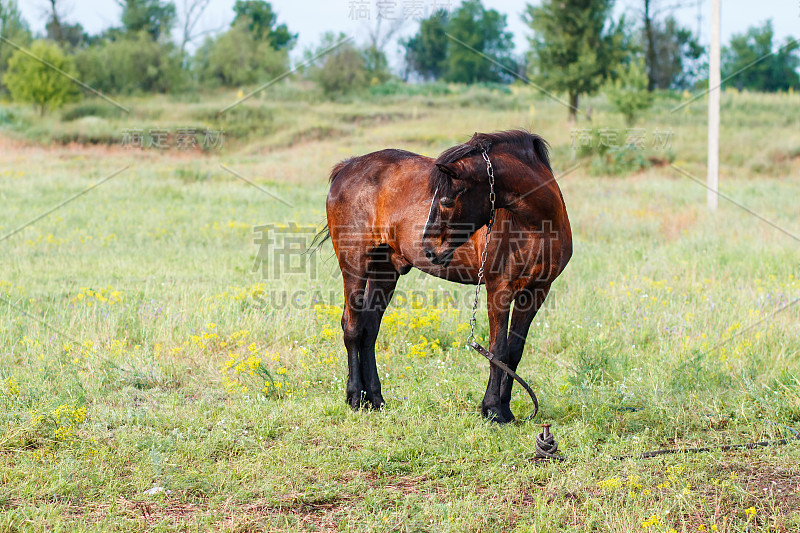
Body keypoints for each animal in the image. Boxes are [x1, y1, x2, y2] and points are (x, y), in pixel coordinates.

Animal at [322, 129, 572, 420]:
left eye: (445, 200)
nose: (429, 249)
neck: (536, 225)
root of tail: (347, 168)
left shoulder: (536, 292)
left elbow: (513, 352)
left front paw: (506, 410)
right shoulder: (499, 289)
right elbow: (497, 349)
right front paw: (492, 410)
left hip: (384, 271)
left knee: (369, 328)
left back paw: (374, 398)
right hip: (354, 266)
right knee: (352, 328)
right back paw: (354, 397)